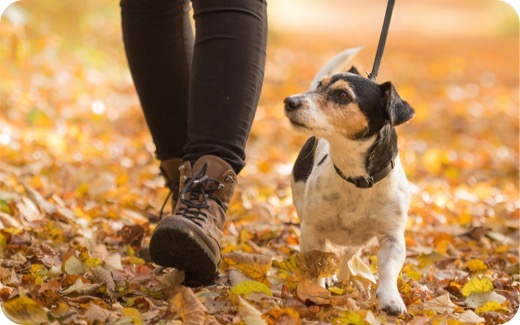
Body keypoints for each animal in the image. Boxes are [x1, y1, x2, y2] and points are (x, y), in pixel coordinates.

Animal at [284, 49, 414, 316]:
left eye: (343, 95)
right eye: (320, 86)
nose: (289, 101)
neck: (356, 180)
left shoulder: (393, 238)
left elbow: (388, 270)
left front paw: (391, 298)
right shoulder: (311, 230)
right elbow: (316, 262)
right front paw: (316, 289)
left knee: (350, 254)